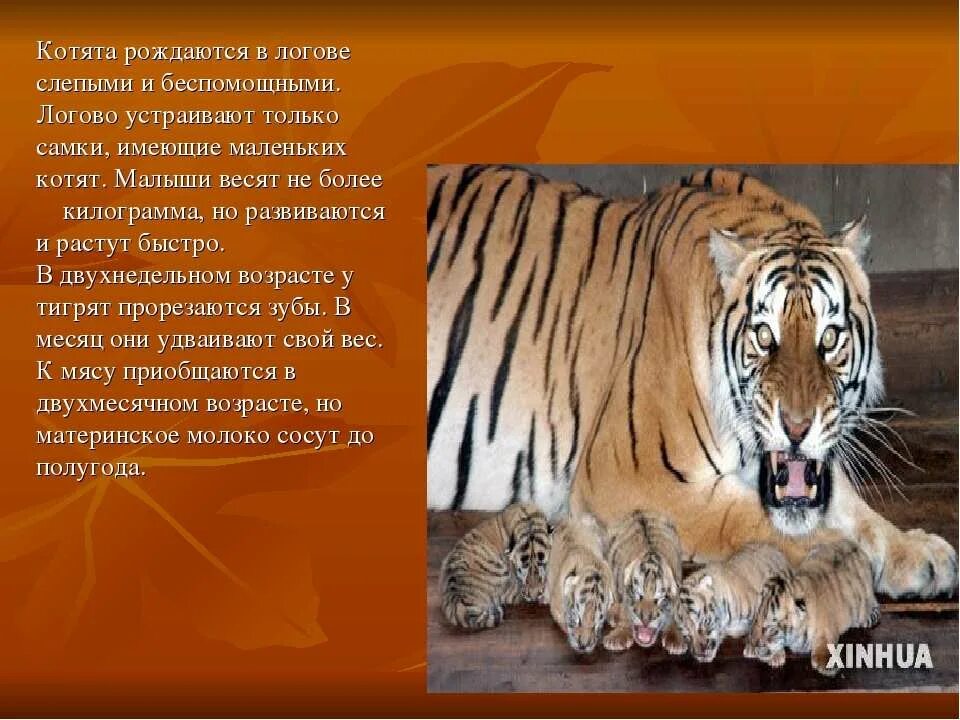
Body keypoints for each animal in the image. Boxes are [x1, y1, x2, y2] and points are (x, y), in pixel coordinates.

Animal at [426, 164, 956, 602]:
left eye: (829, 338)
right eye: (765, 336)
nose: (796, 427)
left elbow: (849, 503)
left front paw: (915, 553)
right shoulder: (632, 475)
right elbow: (756, 521)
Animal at [601, 510, 683, 652]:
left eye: (658, 599)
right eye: (638, 596)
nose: (645, 621)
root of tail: (639, 511)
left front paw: (675, 637)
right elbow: (626, 611)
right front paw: (618, 636)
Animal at [744, 539, 880, 675]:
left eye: (768, 628)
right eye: (755, 619)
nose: (753, 643)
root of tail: (856, 546)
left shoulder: (827, 631)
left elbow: (825, 644)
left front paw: (827, 664)